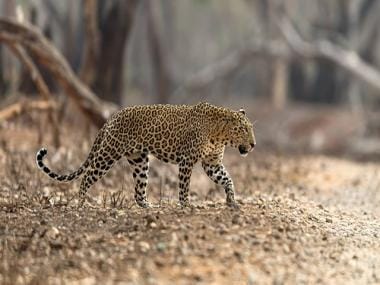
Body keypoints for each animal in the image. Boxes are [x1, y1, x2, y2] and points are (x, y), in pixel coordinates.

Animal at [36, 101, 255, 206]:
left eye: (250, 129)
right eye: (243, 130)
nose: (253, 145)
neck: (219, 134)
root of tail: (112, 116)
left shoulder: (212, 163)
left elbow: (227, 179)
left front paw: (232, 201)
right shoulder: (187, 161)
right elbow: (184, 186)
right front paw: (185, 205)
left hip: (140, 160)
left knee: (138, 192)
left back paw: (149, 207)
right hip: (108, 153)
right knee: (87, 176)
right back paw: (81, 203)